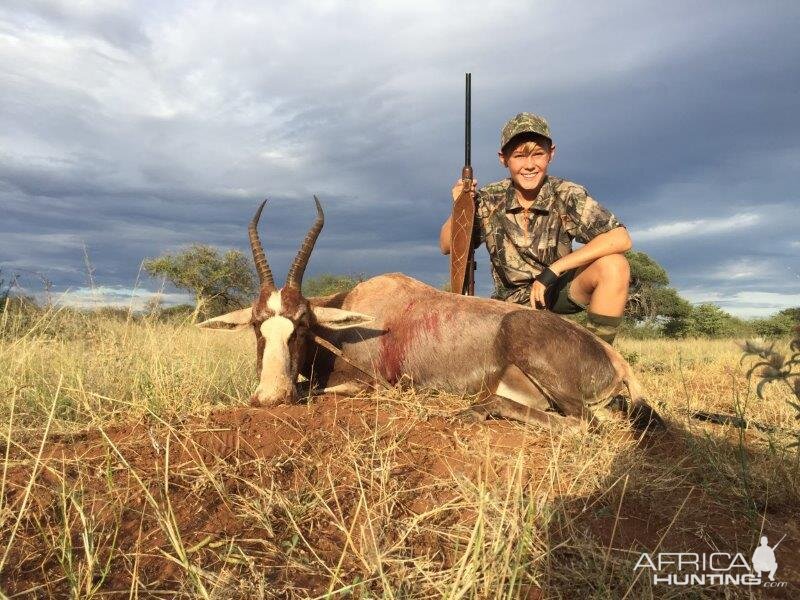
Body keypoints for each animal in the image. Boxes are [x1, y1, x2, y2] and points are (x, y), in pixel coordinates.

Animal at [200, 202, 664, 432]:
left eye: (301, 326)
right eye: (258, 326)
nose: (269, 398)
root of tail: (614, 358)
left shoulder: (368, 386)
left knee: (586, 426)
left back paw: (473, 411)